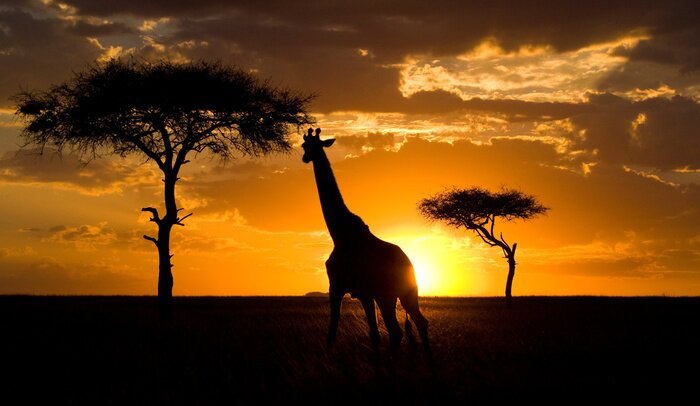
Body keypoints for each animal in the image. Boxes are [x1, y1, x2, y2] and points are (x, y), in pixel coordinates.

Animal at [301, 127, 429, 350]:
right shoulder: (363, 292)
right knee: (419, 323)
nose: (305, 158)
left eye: (309, 146)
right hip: (406, 292)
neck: (339, 233)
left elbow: (333, 332)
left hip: (386, 294)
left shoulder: (338, 286)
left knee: (397, 331)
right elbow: (373, 334)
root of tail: (408, 262)